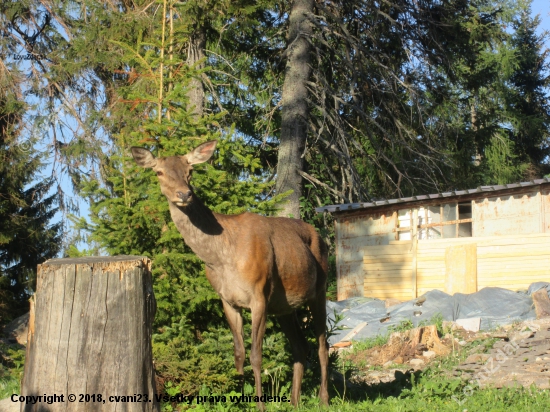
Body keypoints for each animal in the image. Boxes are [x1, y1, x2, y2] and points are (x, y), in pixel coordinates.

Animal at [132, 139, 330, 408]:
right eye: (159, 172)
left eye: (190, 170)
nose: (184, 194)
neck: (222, 259)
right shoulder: (227, 300)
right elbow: (239, 353)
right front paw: (239, 399)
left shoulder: (259, 294)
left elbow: (256, 355)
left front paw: (260, 405)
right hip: (284, 306)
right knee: (300, 347)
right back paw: (294, 402)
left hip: (320, 288)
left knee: (322, 346)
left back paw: (324, 400)